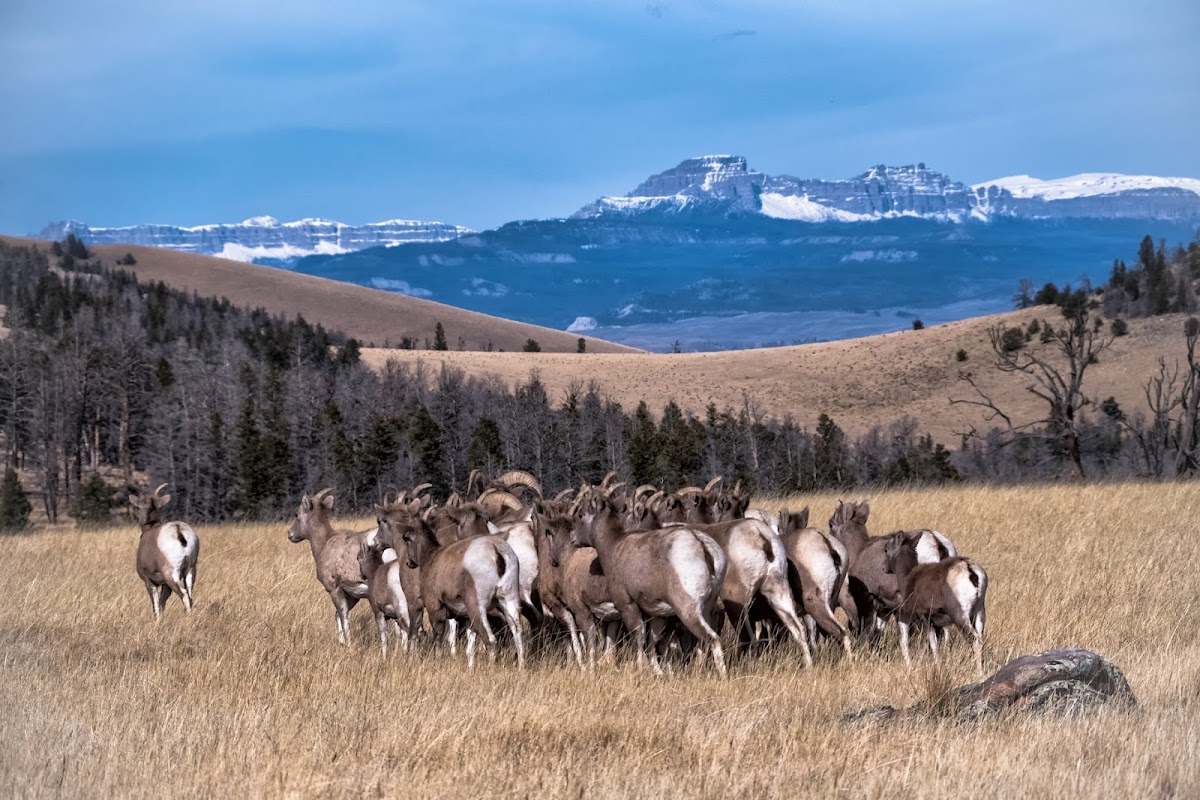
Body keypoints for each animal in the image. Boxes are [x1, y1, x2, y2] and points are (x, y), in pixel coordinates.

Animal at [129, 483, 199, 621]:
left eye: (137, 507)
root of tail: (178, 530)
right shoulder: (165, 585)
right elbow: (162, 603)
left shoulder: (149, 581)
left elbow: (156, 604)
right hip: (190, 570)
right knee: (190, 594)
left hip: (171, 574)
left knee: (184, 595)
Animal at [286, 489, 372, 645]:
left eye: (296, 514)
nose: (290, 534)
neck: (324, 543)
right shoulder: (353, 596)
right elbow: (337, 615)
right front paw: (342, 643)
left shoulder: (334, 588)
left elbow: (343, 616)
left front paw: (347, 644)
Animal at [883, 530, 988, 677]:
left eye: (886, 549)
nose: (884, 568)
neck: (908, 578)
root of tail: (970, 570)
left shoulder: (925, 620)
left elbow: (933, 644)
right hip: (979, 613)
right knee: (981, 639)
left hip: (960, 617)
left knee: (975, 641)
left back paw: (979, 673)